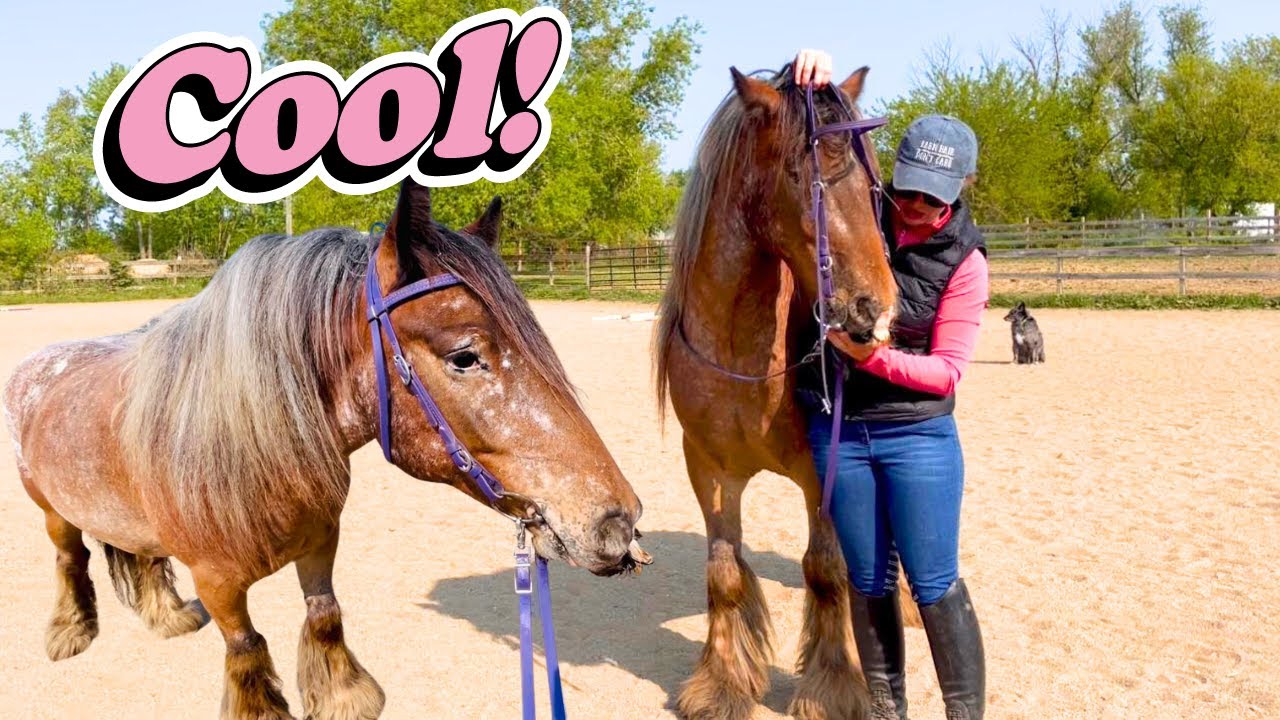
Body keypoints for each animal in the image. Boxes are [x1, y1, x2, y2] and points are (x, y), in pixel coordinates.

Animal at [4, 179, 645, 720]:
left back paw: (169, 617)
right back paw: (70, 633)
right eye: (464, 356)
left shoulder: (319, 545)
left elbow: (325, 615)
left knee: (143, 557)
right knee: (70, 560)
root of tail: (37, 364)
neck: (251, 442)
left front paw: (344, 698)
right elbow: (247, 650)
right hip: (52, 511)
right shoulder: (218, 583)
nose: (618, 522)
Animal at [654, 65, 900, 720]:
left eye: (870, 182)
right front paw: (722, 682)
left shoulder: (824, 471)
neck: (740, 349)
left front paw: (833, 686)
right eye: (800, 176)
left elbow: (826, 570)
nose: (873, 308)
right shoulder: (708, 469)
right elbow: (723, 573)